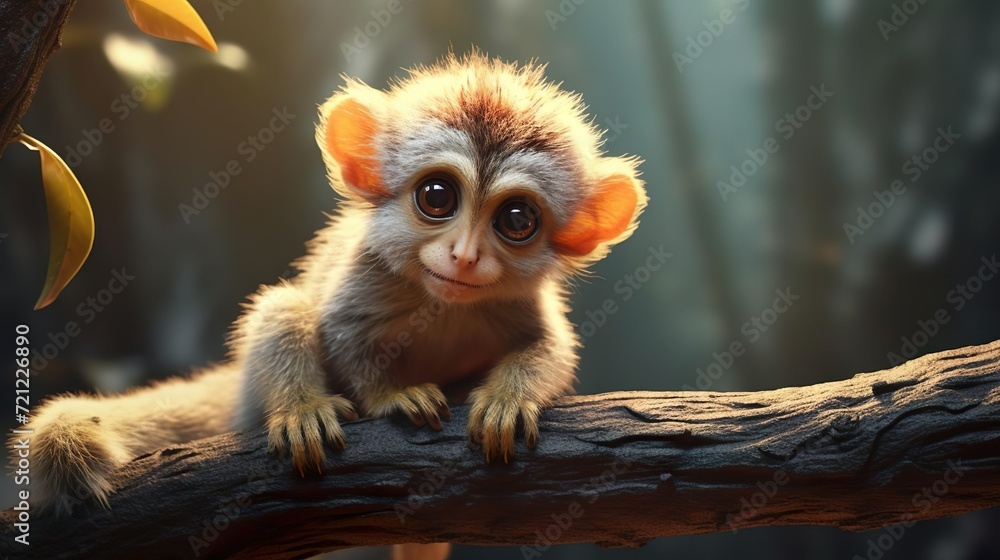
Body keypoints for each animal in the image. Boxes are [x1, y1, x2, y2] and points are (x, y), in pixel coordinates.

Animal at [15, 53, 647, 532]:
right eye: (437, 196)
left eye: (517, 220)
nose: (465, 256)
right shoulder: (363, 273)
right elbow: (345, 338)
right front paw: (392, 396)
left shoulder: (525, 303)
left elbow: (552, 350)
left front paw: (507, 399)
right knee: (285, 305)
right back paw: (301, 411)